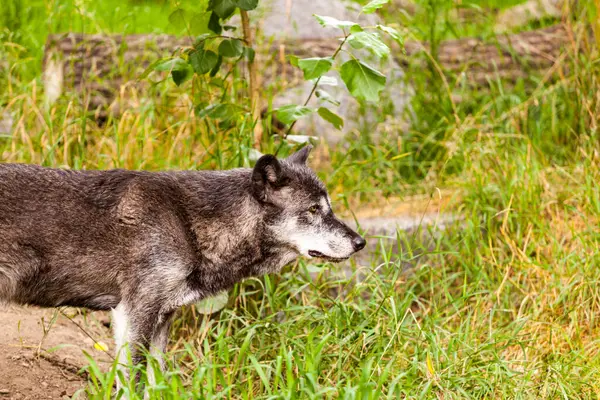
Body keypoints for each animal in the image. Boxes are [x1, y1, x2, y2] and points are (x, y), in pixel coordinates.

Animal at [0, 147, 366, 388]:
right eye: (314, 210)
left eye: (329, 208)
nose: (360, 242)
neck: (187, 221)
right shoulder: (135, 313)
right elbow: (134, 383)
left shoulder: (161, 319)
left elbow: (157, 382)